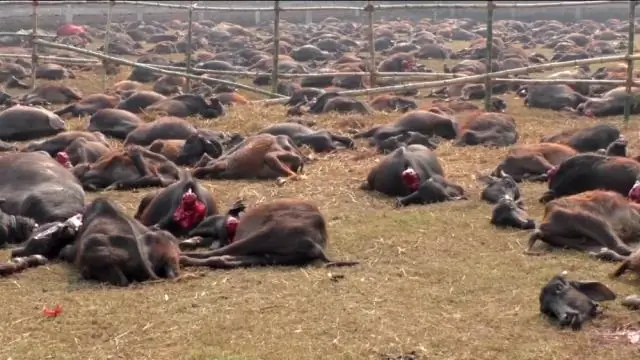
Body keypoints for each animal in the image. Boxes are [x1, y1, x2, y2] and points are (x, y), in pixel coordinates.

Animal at [180, 198, 360, 268]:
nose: (190, 234)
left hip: (268, 232)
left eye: (207, 221)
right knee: (223, 258)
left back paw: (183, 257)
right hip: (276, 254)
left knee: (220, 254)